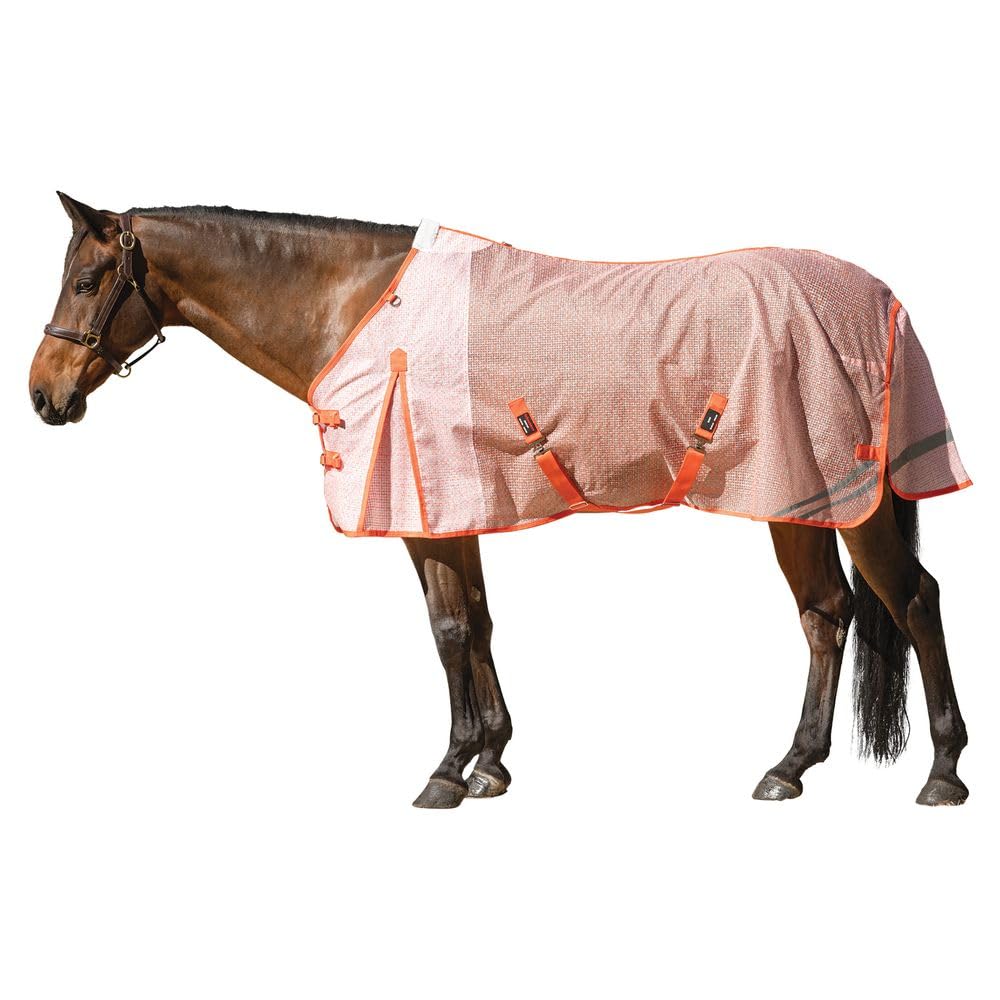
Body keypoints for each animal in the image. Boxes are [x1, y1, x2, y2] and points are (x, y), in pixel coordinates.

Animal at [29, 193, 970, 807]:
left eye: (86, 282)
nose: (43, 395)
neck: (365, 308)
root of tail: (881, 299)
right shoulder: (453, 511)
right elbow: (475, 623)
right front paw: (491, 764)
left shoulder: (423, 510)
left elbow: (448, 630)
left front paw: (447, 772)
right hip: (796, 500)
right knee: (827, 613)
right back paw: (789, 768)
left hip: (839, 497)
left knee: (911, 600)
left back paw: (942, 773)